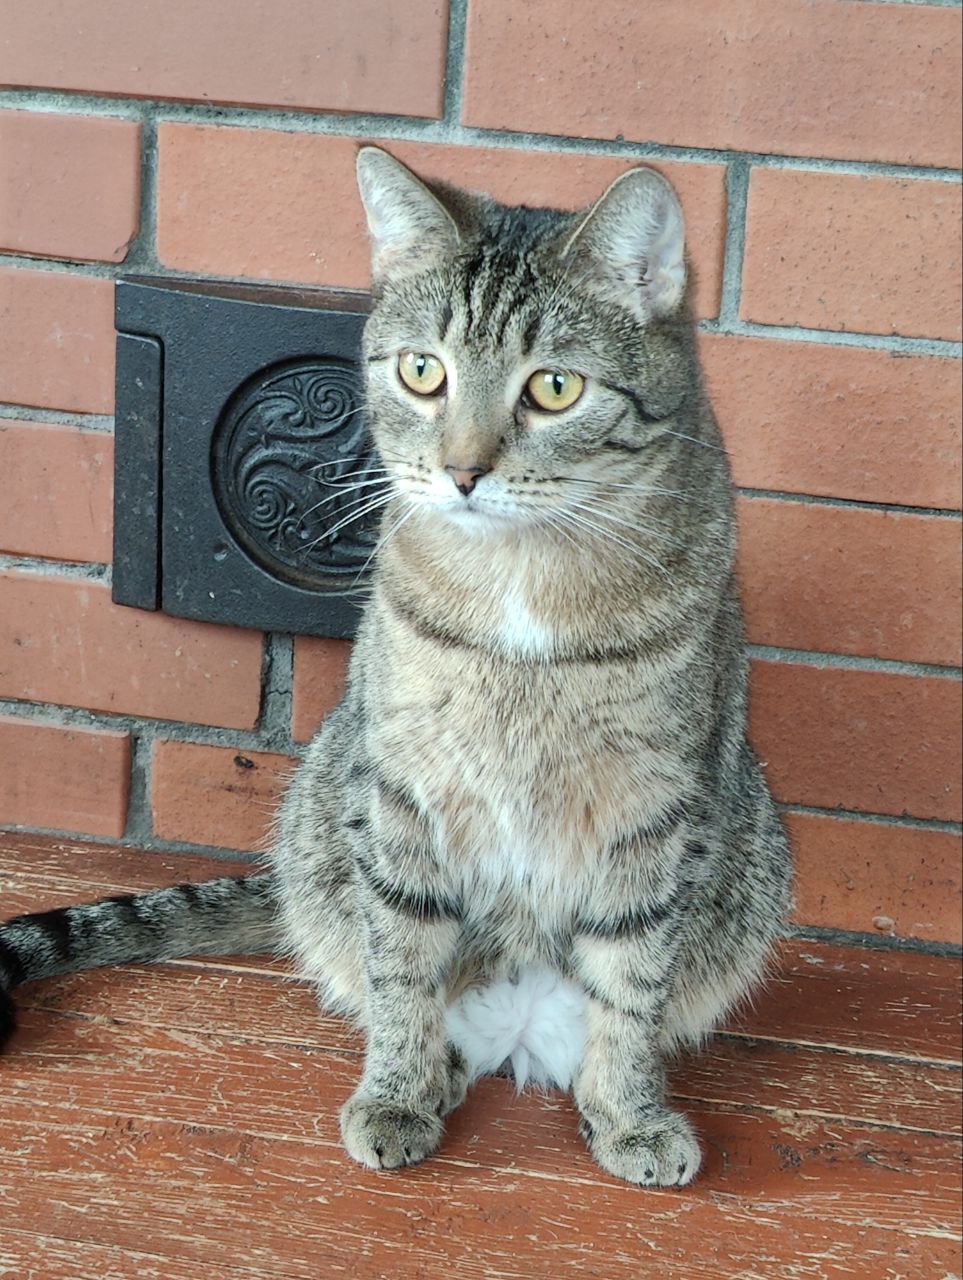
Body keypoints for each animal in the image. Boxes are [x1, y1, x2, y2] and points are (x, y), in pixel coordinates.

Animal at [0, 145, 788, 1182]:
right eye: (422, 372)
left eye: (555, 388)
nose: (461, 472)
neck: (519, 575)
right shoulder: (405, 786)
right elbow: (403, 960)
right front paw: (398, 1091)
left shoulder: (654, 807)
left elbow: (631, 977)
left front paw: (629, 1111)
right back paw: (442, 1066)